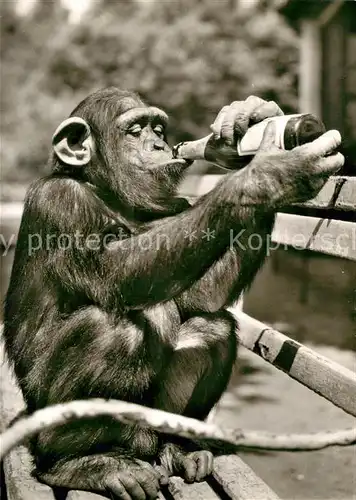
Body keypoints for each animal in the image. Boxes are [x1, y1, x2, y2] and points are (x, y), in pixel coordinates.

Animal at [2, 88, 342, 498]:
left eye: (159, 129)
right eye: (135, 130)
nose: (161, 144)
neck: (110, 194)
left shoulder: (173, 208)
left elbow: (201, 295)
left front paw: (251, 117)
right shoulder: (61, 202)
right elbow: (116, 273)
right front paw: (269, 174)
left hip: (145, 432)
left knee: (209, 327)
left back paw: (176, 448)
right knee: (116, 332)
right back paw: (82, 463)